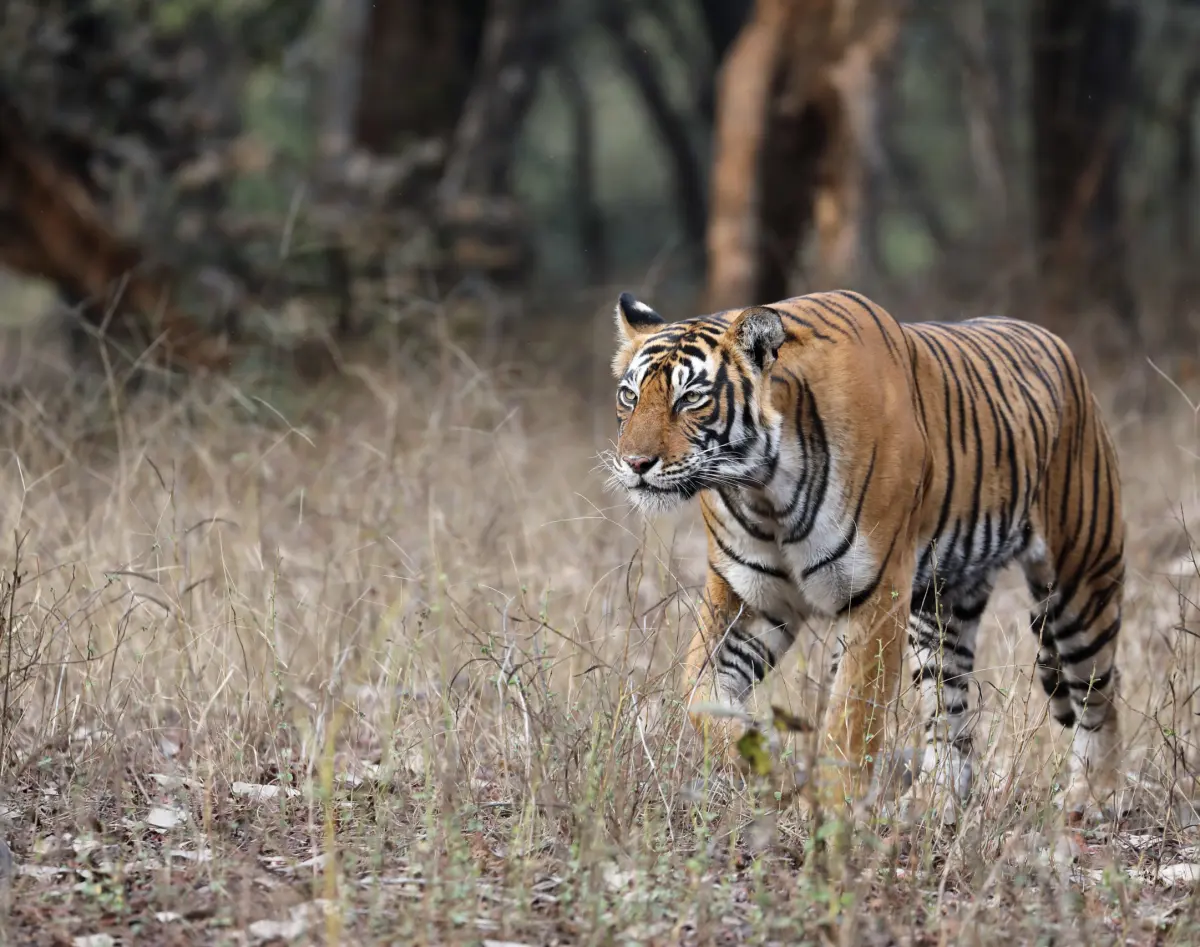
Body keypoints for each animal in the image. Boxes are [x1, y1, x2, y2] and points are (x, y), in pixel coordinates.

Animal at [606, 289, 1125, 822]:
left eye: (690, 398)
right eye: (630, 396)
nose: (635, 464)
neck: (762, 487)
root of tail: (1057, 344)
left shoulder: (876, 593)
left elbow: (851, 715)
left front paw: (835, 811)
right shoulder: (749, 598)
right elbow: (698, 694)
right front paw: (771, 760)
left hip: (1081, 579)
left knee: (1099, 694)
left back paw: (1093, 796)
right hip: (941, 608)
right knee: (948, 707)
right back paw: (934, 801)